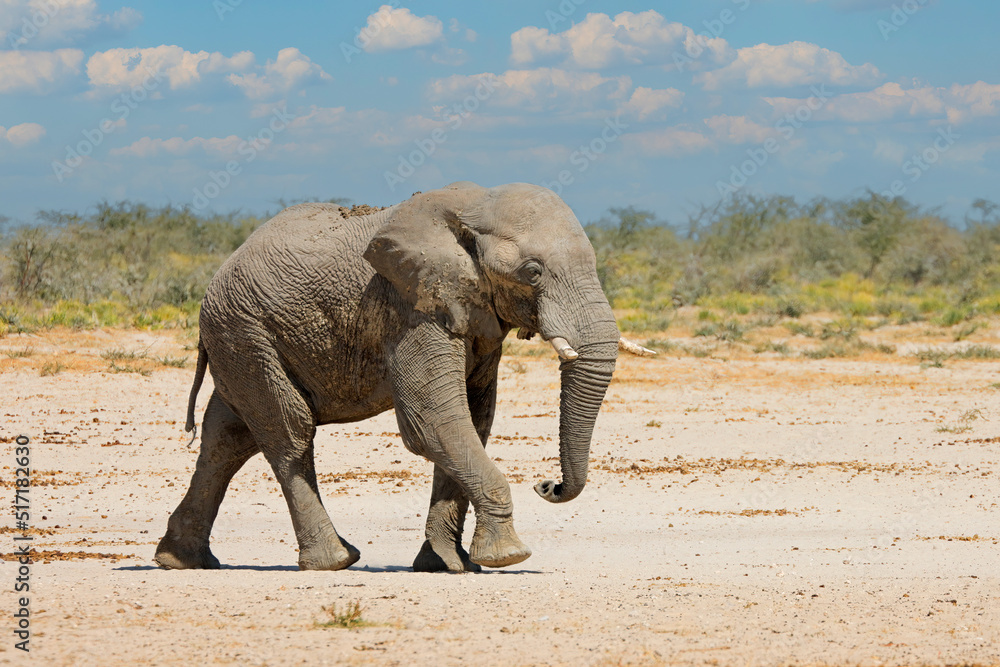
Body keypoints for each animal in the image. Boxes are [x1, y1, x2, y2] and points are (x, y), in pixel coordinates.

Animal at [154, 181, 651, 573]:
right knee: (288, 435)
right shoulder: (411, 307)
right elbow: (432, 421)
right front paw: (506, 557)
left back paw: (180, 560)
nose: (548, 484)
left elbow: (473, 421)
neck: (473, 206)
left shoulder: (473, 313)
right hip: (244, 332)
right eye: (532, 272)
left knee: (228, 437)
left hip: (240, 339)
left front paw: (448, 565)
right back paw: (334, 561)